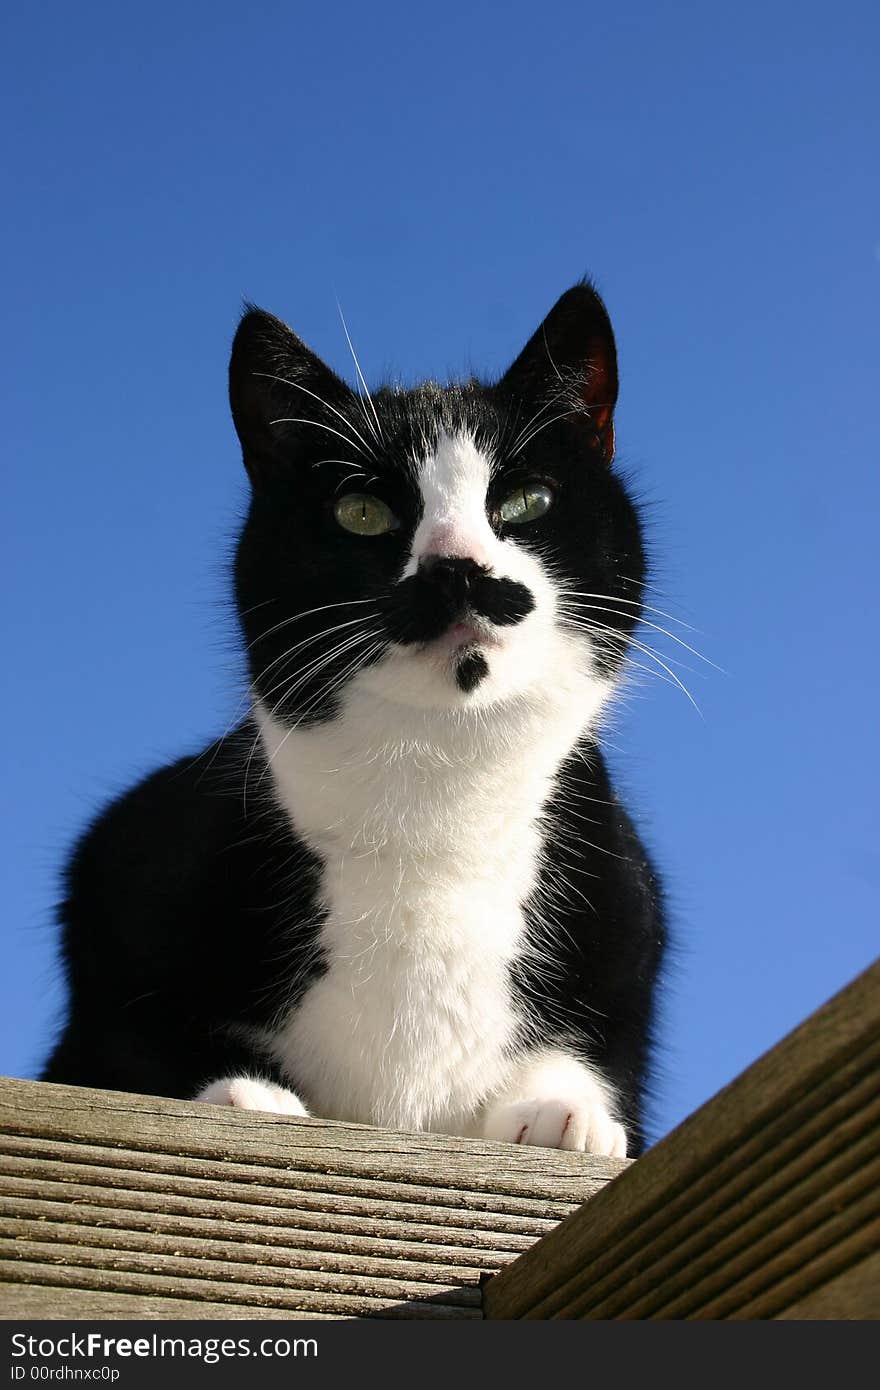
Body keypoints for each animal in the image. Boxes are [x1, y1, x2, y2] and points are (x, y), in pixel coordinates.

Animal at [42, 276, 664, 1156]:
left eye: (525, 499)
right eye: (361, 513)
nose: (456, 569)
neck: (436, 794)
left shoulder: (629, 907)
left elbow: (592, 1053)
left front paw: (562, 1114)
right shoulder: (115, 882)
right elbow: (133, 1046)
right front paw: (246, 1095)